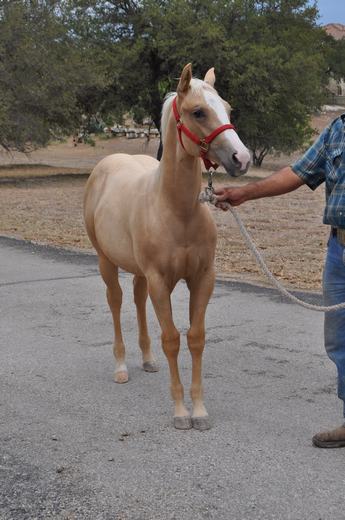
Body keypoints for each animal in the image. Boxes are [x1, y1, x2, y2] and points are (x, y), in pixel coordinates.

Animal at [83, 64, 250, 430]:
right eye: (198, 111)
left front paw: (199, 411)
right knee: (116, 301)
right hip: (106, 262)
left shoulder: (202, 278)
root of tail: (106, 165)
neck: (177, 210)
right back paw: (121, 367)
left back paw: (147, 359)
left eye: (228, 109)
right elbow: (172, 339)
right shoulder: (161, 280)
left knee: (137, 299)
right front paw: (180, 412)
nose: (241, 158)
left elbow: (196, 338)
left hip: (140, 273)